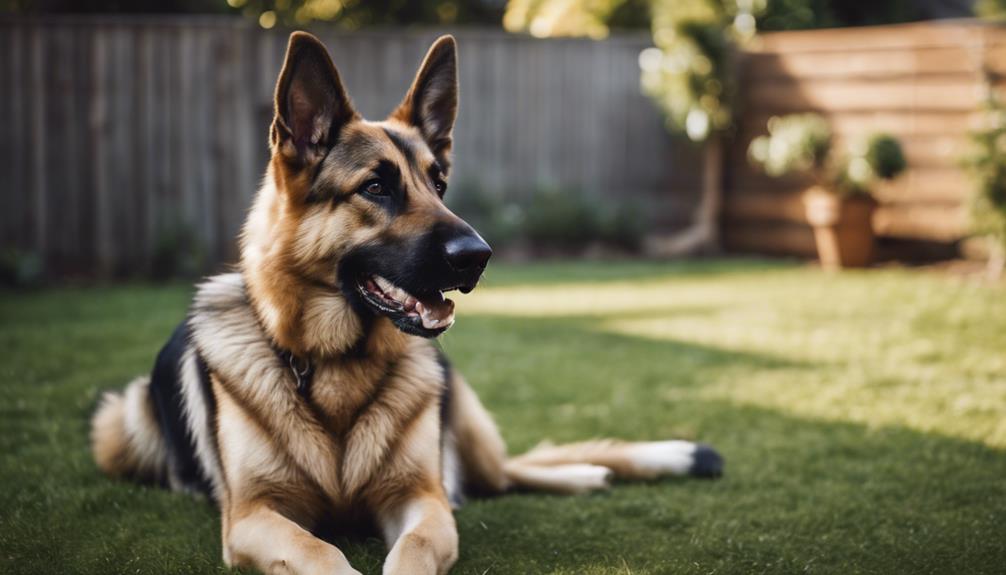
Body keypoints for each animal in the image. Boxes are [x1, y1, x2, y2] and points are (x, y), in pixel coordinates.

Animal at [90, 32, 724, 575]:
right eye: (376, 187)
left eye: (438, 186)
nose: (479, 256)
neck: (336, 365)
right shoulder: (252, 516)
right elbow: (319, 551)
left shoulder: (423, 500)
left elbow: (416, 545)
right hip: (120, 423)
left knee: (505, 472)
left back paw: (583, 474)